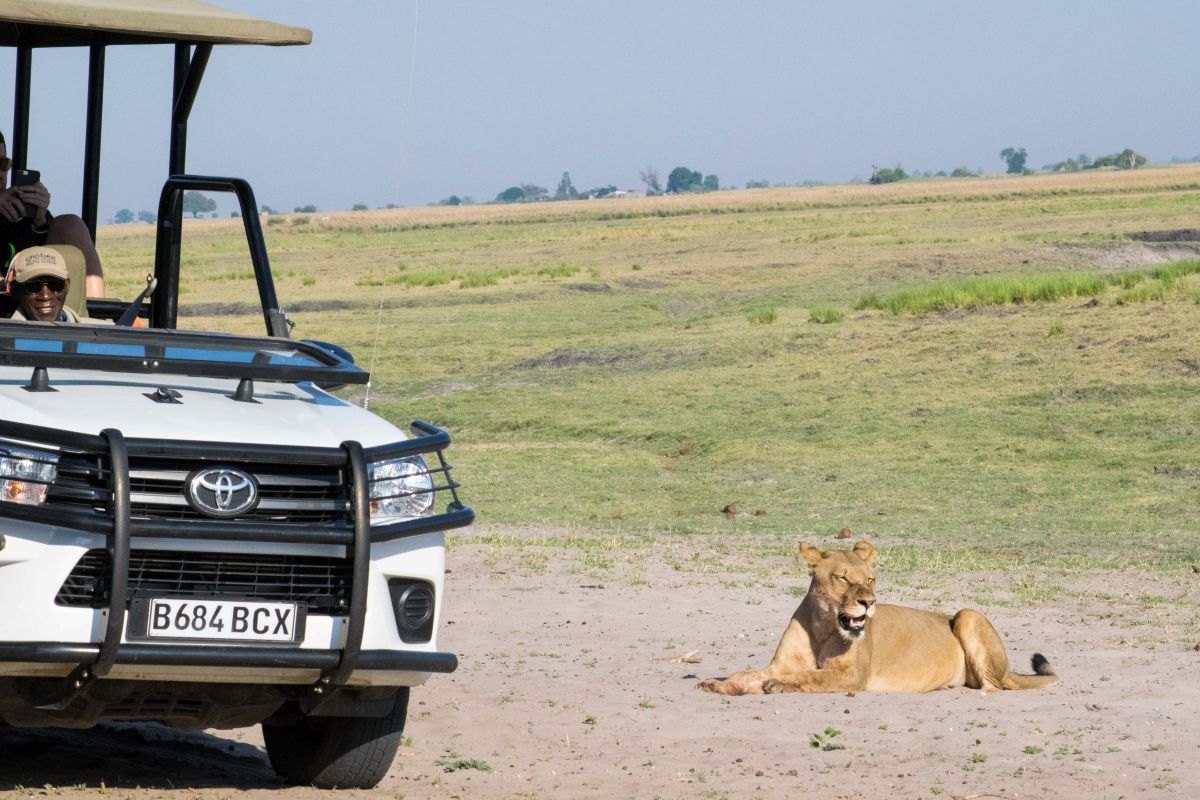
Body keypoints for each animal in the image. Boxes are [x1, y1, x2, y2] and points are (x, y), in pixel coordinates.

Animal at [696, 540, 1057, 695]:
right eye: (843, 579)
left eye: (870, 579)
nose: (869, 603)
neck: (822, 627)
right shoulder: (779, 664)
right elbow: (745, 674)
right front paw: (717, 684)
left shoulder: (853, 676)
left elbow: (810, 676)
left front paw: (778, 686)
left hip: (967, 615)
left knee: (993, 687)